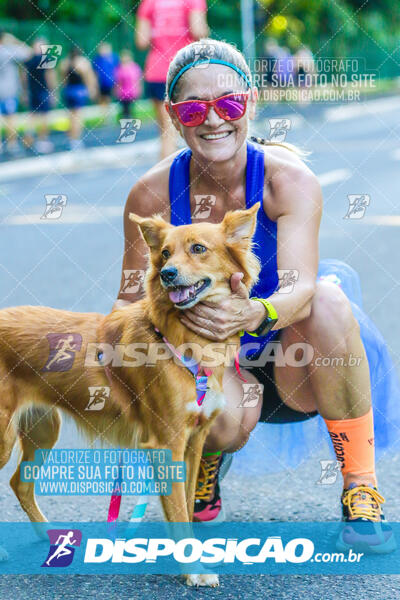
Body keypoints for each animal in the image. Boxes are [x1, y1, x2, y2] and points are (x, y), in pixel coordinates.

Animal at [0, 205, 260, 584]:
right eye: (164, 253)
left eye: (198, 249)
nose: (167, 274)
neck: (179, 338)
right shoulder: (167, 444)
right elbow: (178, 512)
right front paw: (193, 571)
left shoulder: (194, 441)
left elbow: (184, 505)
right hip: (5, 436)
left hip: (43, 429)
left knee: (19, 483)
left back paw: (51, 535)